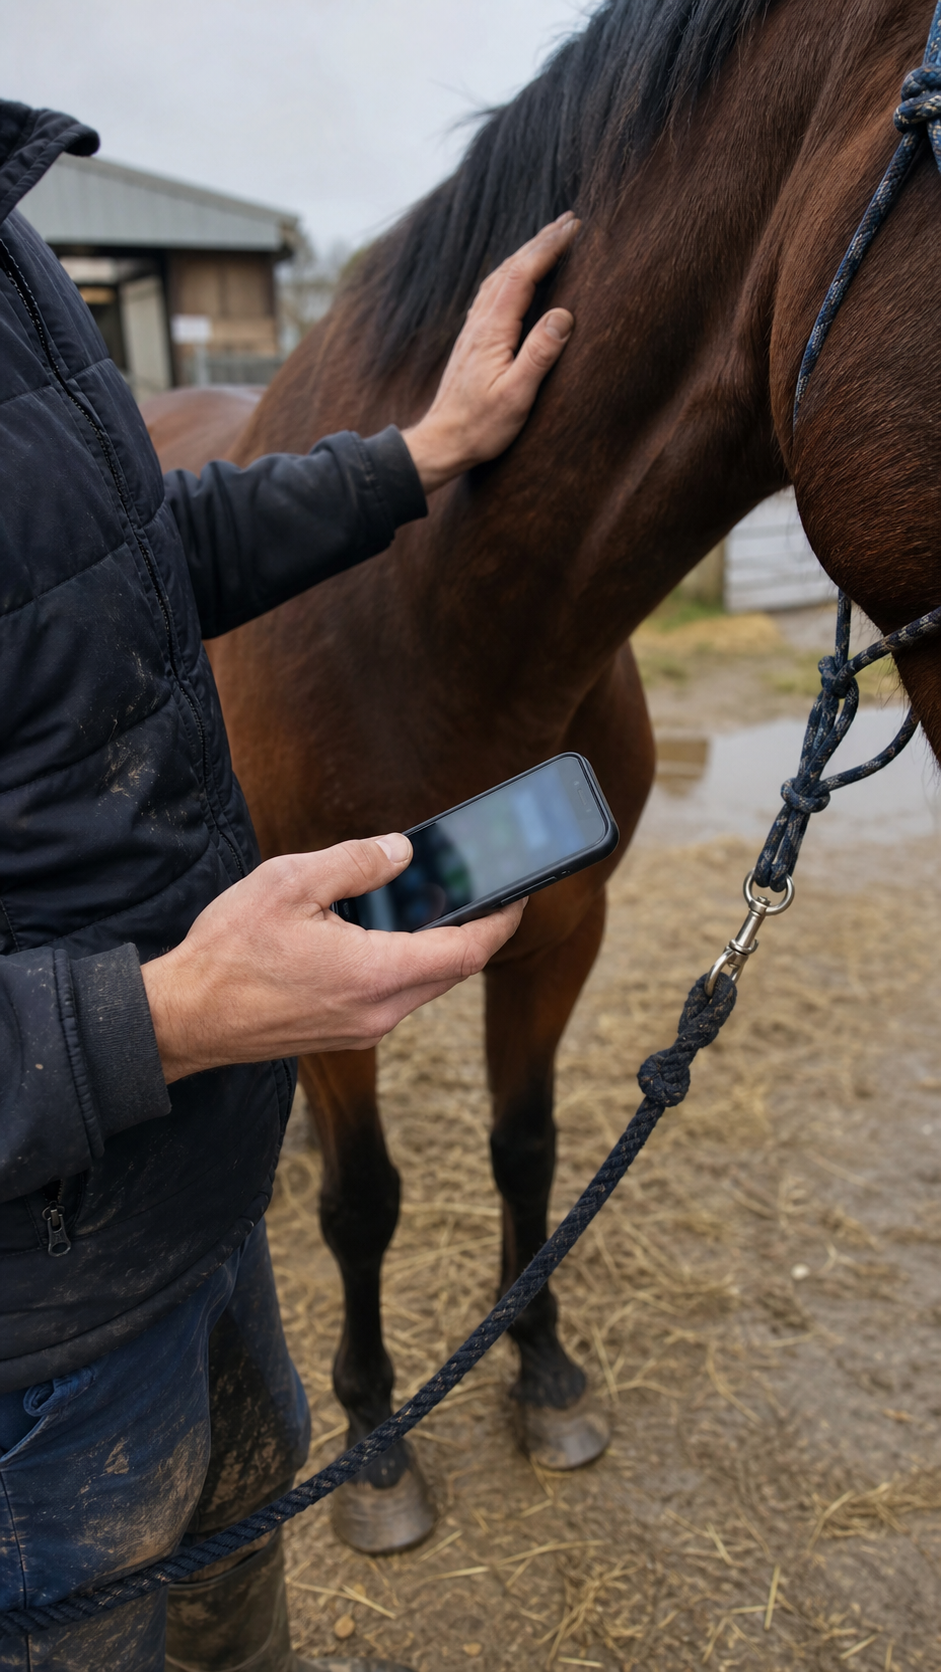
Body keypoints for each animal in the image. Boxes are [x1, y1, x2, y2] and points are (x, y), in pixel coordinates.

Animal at [145, 0, 941, 1554]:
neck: (433, 609)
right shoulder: (320, 953)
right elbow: (363, 1203)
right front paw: (377, 1444)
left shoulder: (561, 921)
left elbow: (527, 1146)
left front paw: (544, 1371)